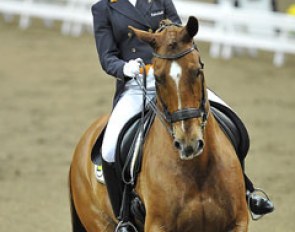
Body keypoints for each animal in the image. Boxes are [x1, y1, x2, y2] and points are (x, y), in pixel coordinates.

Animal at [70, 16, 250, 232]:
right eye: (157, 77)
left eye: (197, 70)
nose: (188, 143)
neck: (197, 170)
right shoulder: (158, 226)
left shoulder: (238, 222)